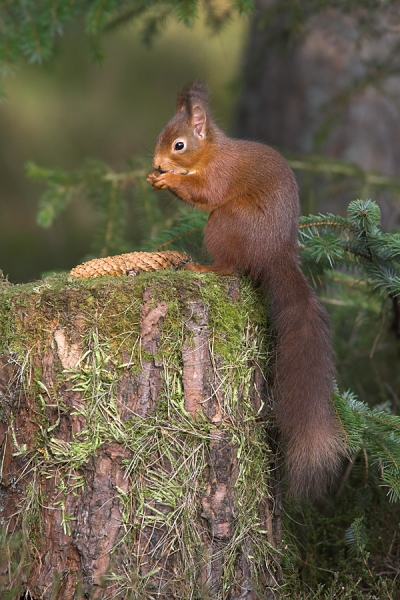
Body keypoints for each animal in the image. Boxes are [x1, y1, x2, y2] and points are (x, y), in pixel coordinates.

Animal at [146, 82, 344, 500]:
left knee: (229, 266)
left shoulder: (219, 176)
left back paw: (202, 266)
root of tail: (276, 254)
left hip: (224, 223)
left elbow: (205, 192)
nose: (157, 163)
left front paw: (169, 181)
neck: (211, 152)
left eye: (179, 145)